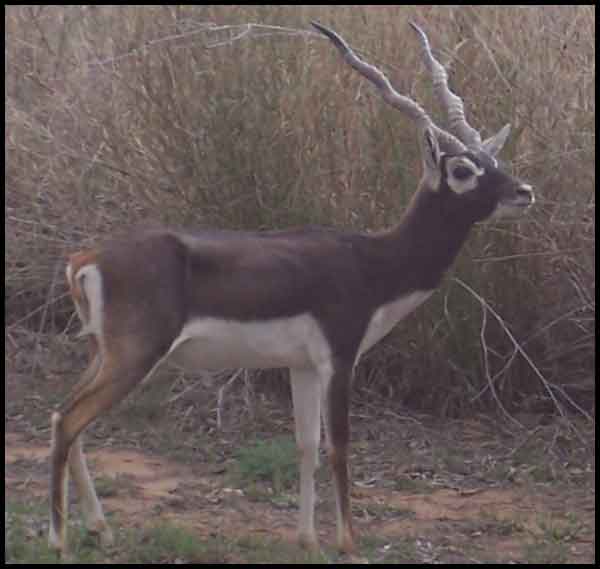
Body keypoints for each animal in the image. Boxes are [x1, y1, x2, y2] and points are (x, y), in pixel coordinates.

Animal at [48, 22, 536, 556]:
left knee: (65, 418)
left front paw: (308, 540)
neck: (371, 262)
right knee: (67, 419)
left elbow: (306, 445)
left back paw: (99, 528)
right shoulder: (339, 359)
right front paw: (348, 545)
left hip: (104, 353)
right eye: (463, 170)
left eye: (492, 158)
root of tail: (86, 259)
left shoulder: (300, 366)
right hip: (134, 356)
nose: (524, 192)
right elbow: (339, 446)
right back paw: (59, 540)